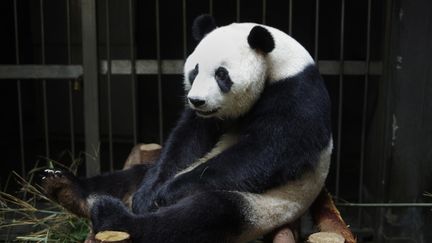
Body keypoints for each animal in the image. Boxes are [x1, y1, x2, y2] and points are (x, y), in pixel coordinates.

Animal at [41, 14, 330, 242]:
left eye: (222, 74)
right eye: (195, 71)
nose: (196, 100)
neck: (278, 63)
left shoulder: (296, 93)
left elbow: (268, 151)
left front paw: (167, 193)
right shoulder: (204, 120)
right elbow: (187, 140)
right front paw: (148, 196)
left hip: (265, 206)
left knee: (203, 215)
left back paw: (112, 215)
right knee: (130, 176)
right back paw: (65, 187)